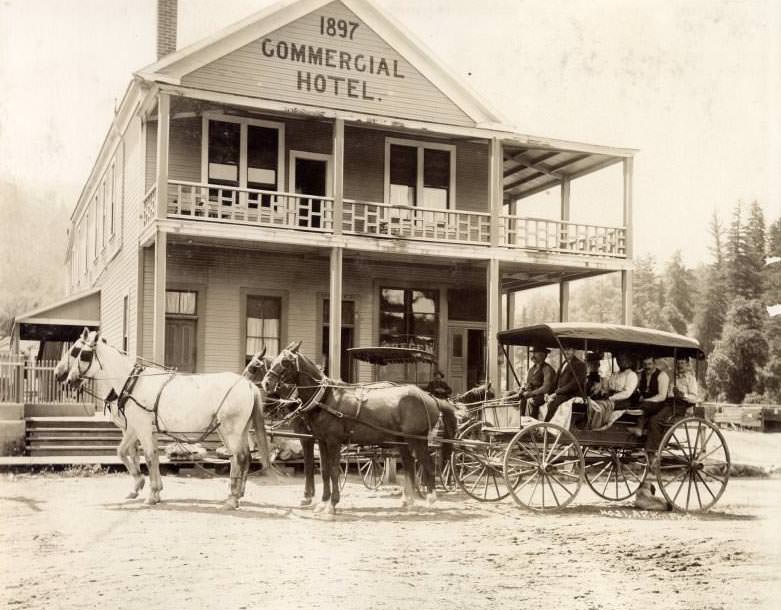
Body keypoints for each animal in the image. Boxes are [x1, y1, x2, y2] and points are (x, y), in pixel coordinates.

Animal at [54, 328, 272, 508]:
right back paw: (233, 494)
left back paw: (233, 499)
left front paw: (150, 494)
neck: (132, 382)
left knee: (240, 457)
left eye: (80, 352)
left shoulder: (140, 427)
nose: (66, 378)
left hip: (231, 429)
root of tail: (246, 383)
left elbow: (149, 457)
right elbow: (132, 452)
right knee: (240, 457)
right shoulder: (138, 428)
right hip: (233, 430)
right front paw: (150, 489)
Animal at [262, 342, 458, 512]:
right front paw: (323, 502)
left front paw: (332, 505)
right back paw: (407, 500)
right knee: (410, 464)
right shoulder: (322, 441)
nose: (266, 383)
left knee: (427, 464)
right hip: (402, 440)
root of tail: (430, 397)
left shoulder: (333, 442)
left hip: (418, 439)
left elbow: (334, 470)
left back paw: (430, 499)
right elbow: (324, 471)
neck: (325, 397)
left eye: (285, 361)